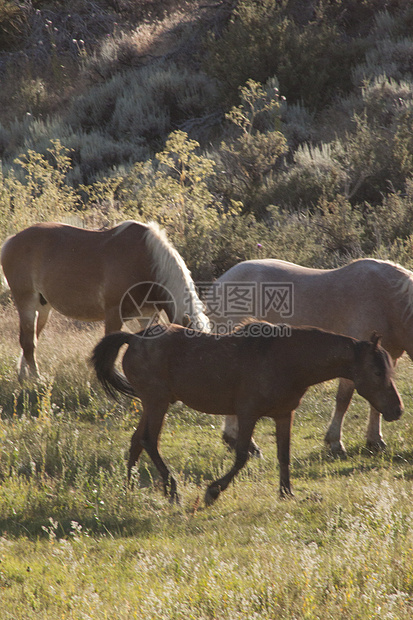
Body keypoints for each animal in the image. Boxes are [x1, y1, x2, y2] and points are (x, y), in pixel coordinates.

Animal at [0, 220, 209, 380]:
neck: (146, 262)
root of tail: (11, 241)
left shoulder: (147, 316)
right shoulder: (114, 314)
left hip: (42, 308)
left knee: (29, 341)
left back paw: (24, 377)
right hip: (26, 303)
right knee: (28, 342)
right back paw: (36, 379)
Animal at [91, 320, 402, 504]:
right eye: (377, 371)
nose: (397, 410)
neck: (287, 360)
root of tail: (134, 338)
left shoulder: (284, 414)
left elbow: (284, 454)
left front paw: (286, 492)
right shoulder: (248, 413)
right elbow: (241, 455)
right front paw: (213, 491)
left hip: (152, 402)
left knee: (136, 441)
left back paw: (129, 487)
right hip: (157, 402)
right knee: (149, 441)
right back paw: (172, 489)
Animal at [208, 256, 412, 456]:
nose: (398, 412)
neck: (388, 301)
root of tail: (219, 283)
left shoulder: (386, 361)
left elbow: (377, 399)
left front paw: (375, 440)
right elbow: (343, 400)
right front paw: (335, 442)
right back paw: (243, 443)